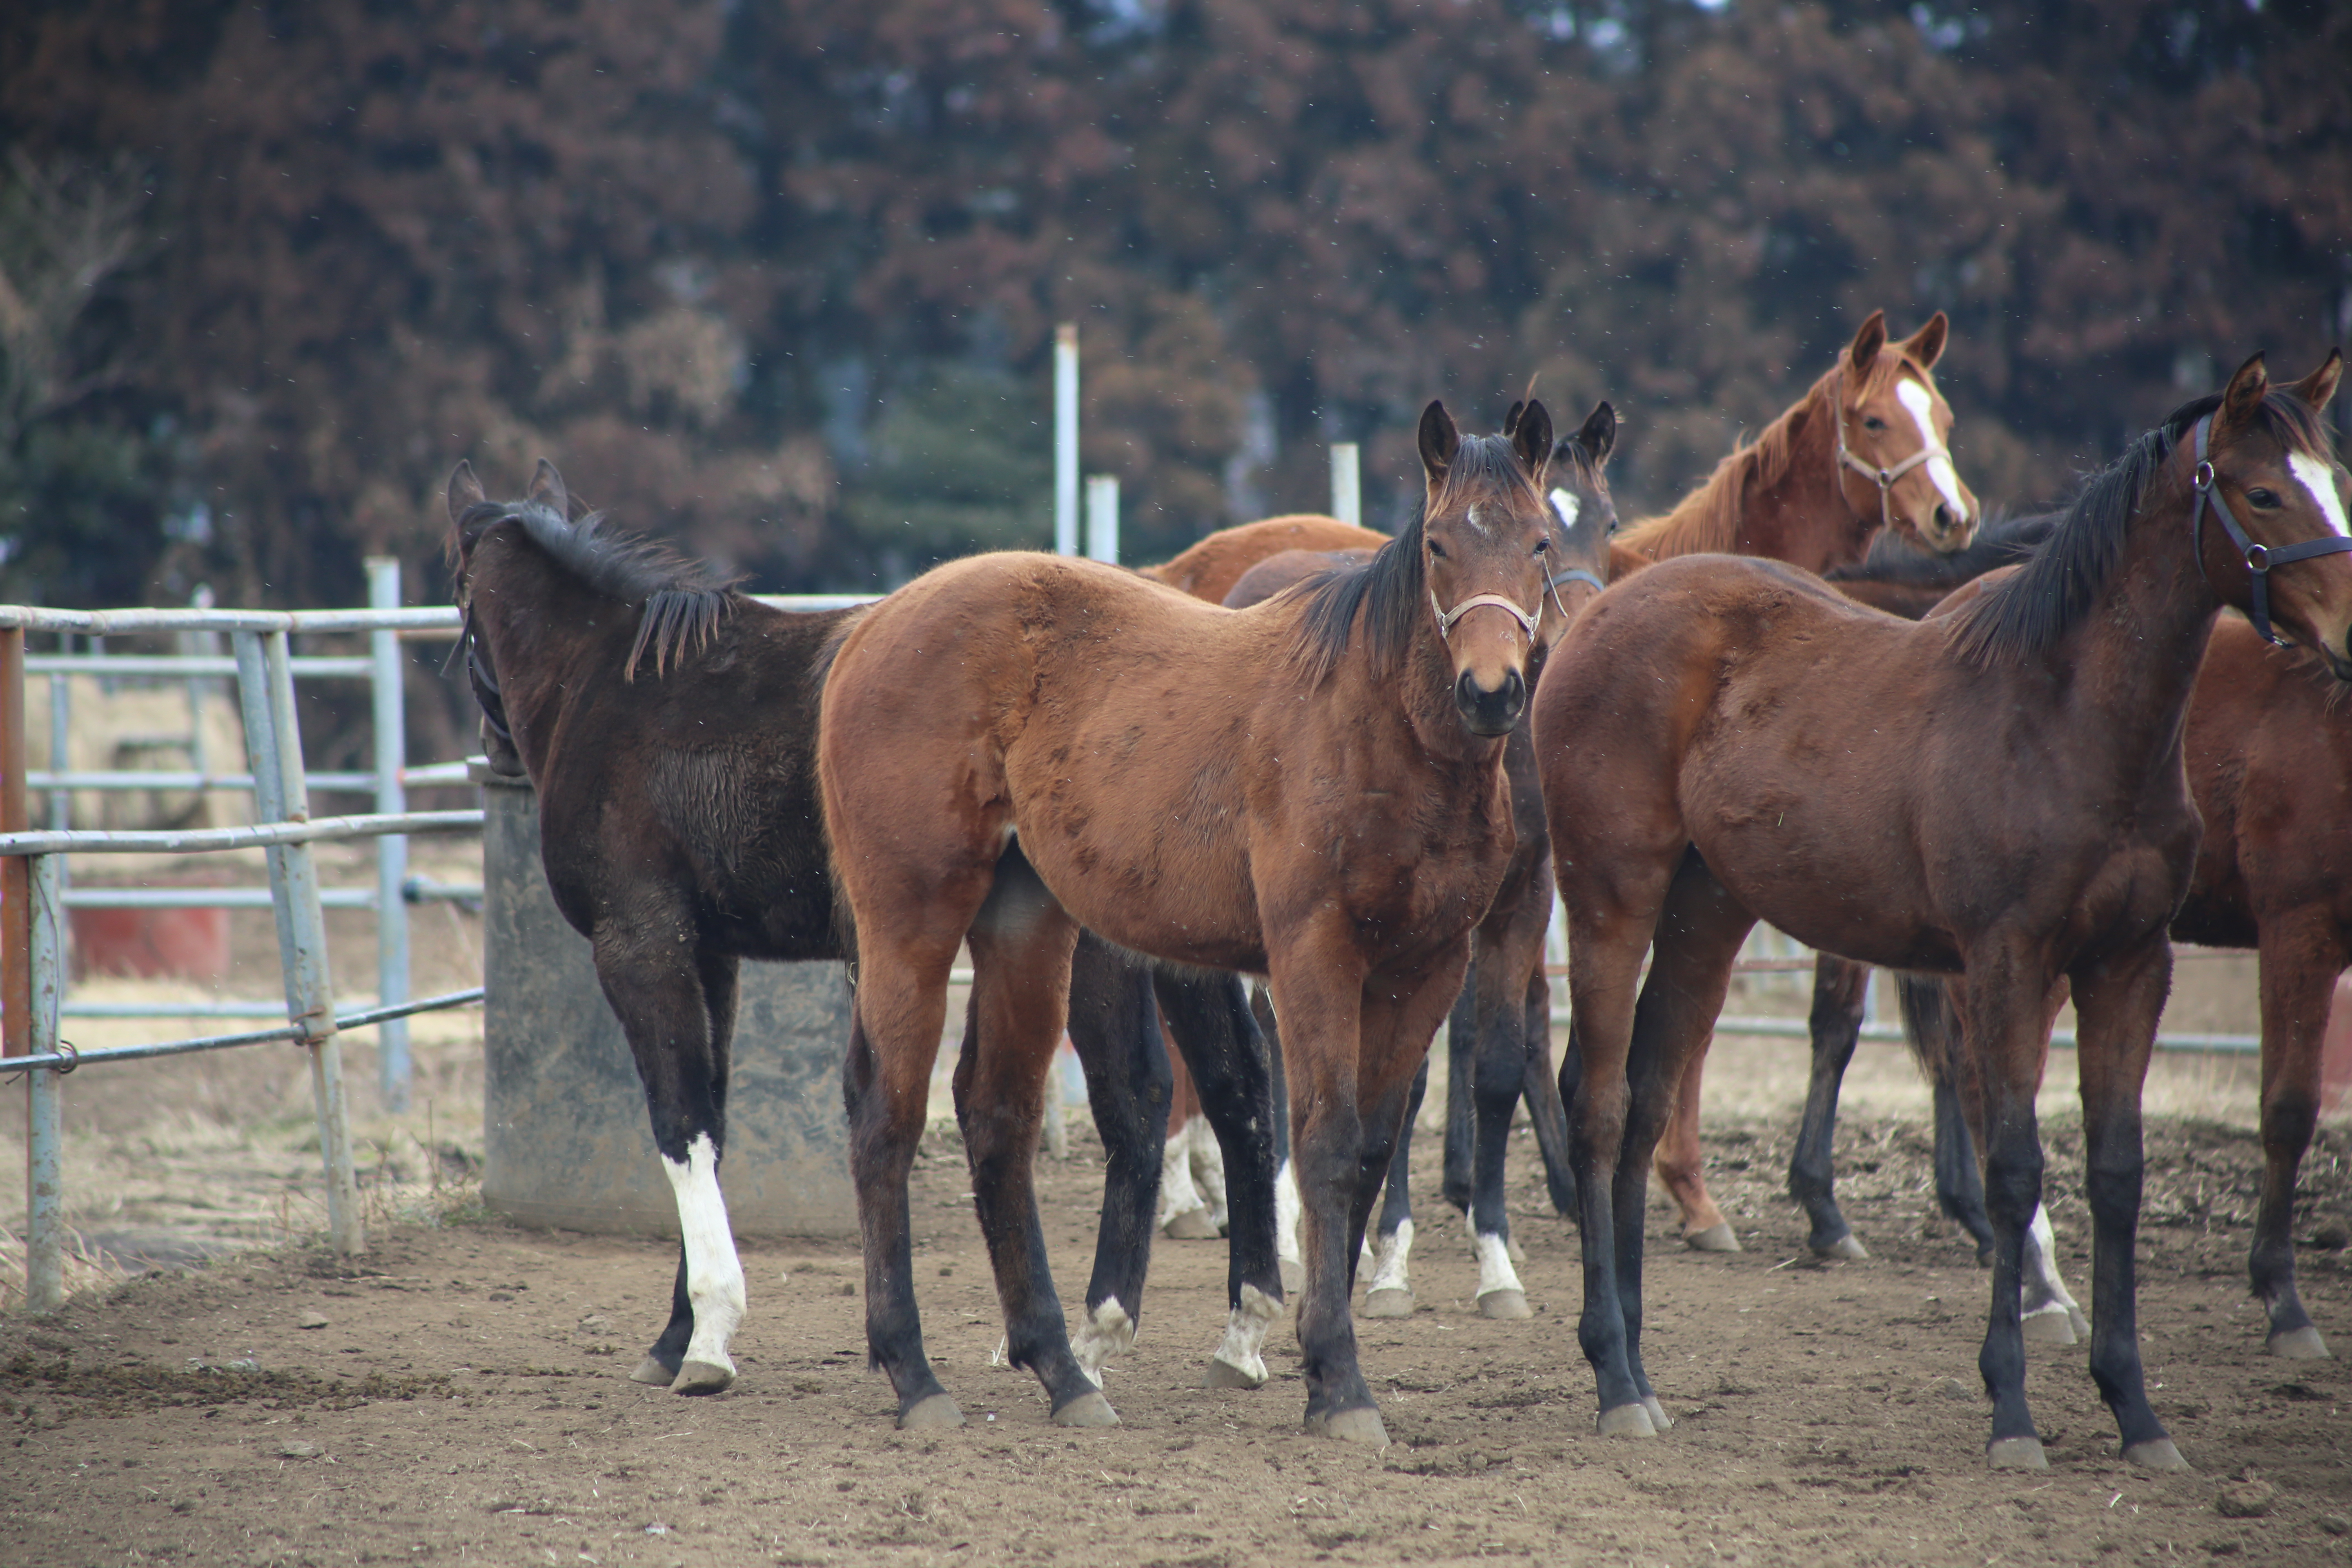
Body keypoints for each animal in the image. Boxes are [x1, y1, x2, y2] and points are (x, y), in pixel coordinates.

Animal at [818, 399, 1571, 1439]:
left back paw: (1062, 1369)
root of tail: (874, 623)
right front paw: (1336, 1379)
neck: (1376, 731)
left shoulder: (1427, 967)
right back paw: (915, 1373)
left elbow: (1371, 1148)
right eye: (1437, 544)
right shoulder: (1310, 957)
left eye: (1540, 543)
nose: (1491, 691)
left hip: (1025, 926)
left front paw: (1309, 1353)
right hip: (911, 924)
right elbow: (1322, 1144)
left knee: (996, 1111)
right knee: (885, 1117)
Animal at [1533, 355, 2352, 1476]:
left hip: (1704, 916)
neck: (2063, 719)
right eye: (2264, 493)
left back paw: (1640, 1367)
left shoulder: (2130, 965)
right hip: (1613, 899)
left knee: (1651, 1099)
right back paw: (1614, 1376)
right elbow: (2013, 1169)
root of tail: (1597, 612)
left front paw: (2135, 1410)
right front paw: (2011, 1408)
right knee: (1601, 1102)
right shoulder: (2007, 962)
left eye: (2334, 480)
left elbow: (2115, 1173)